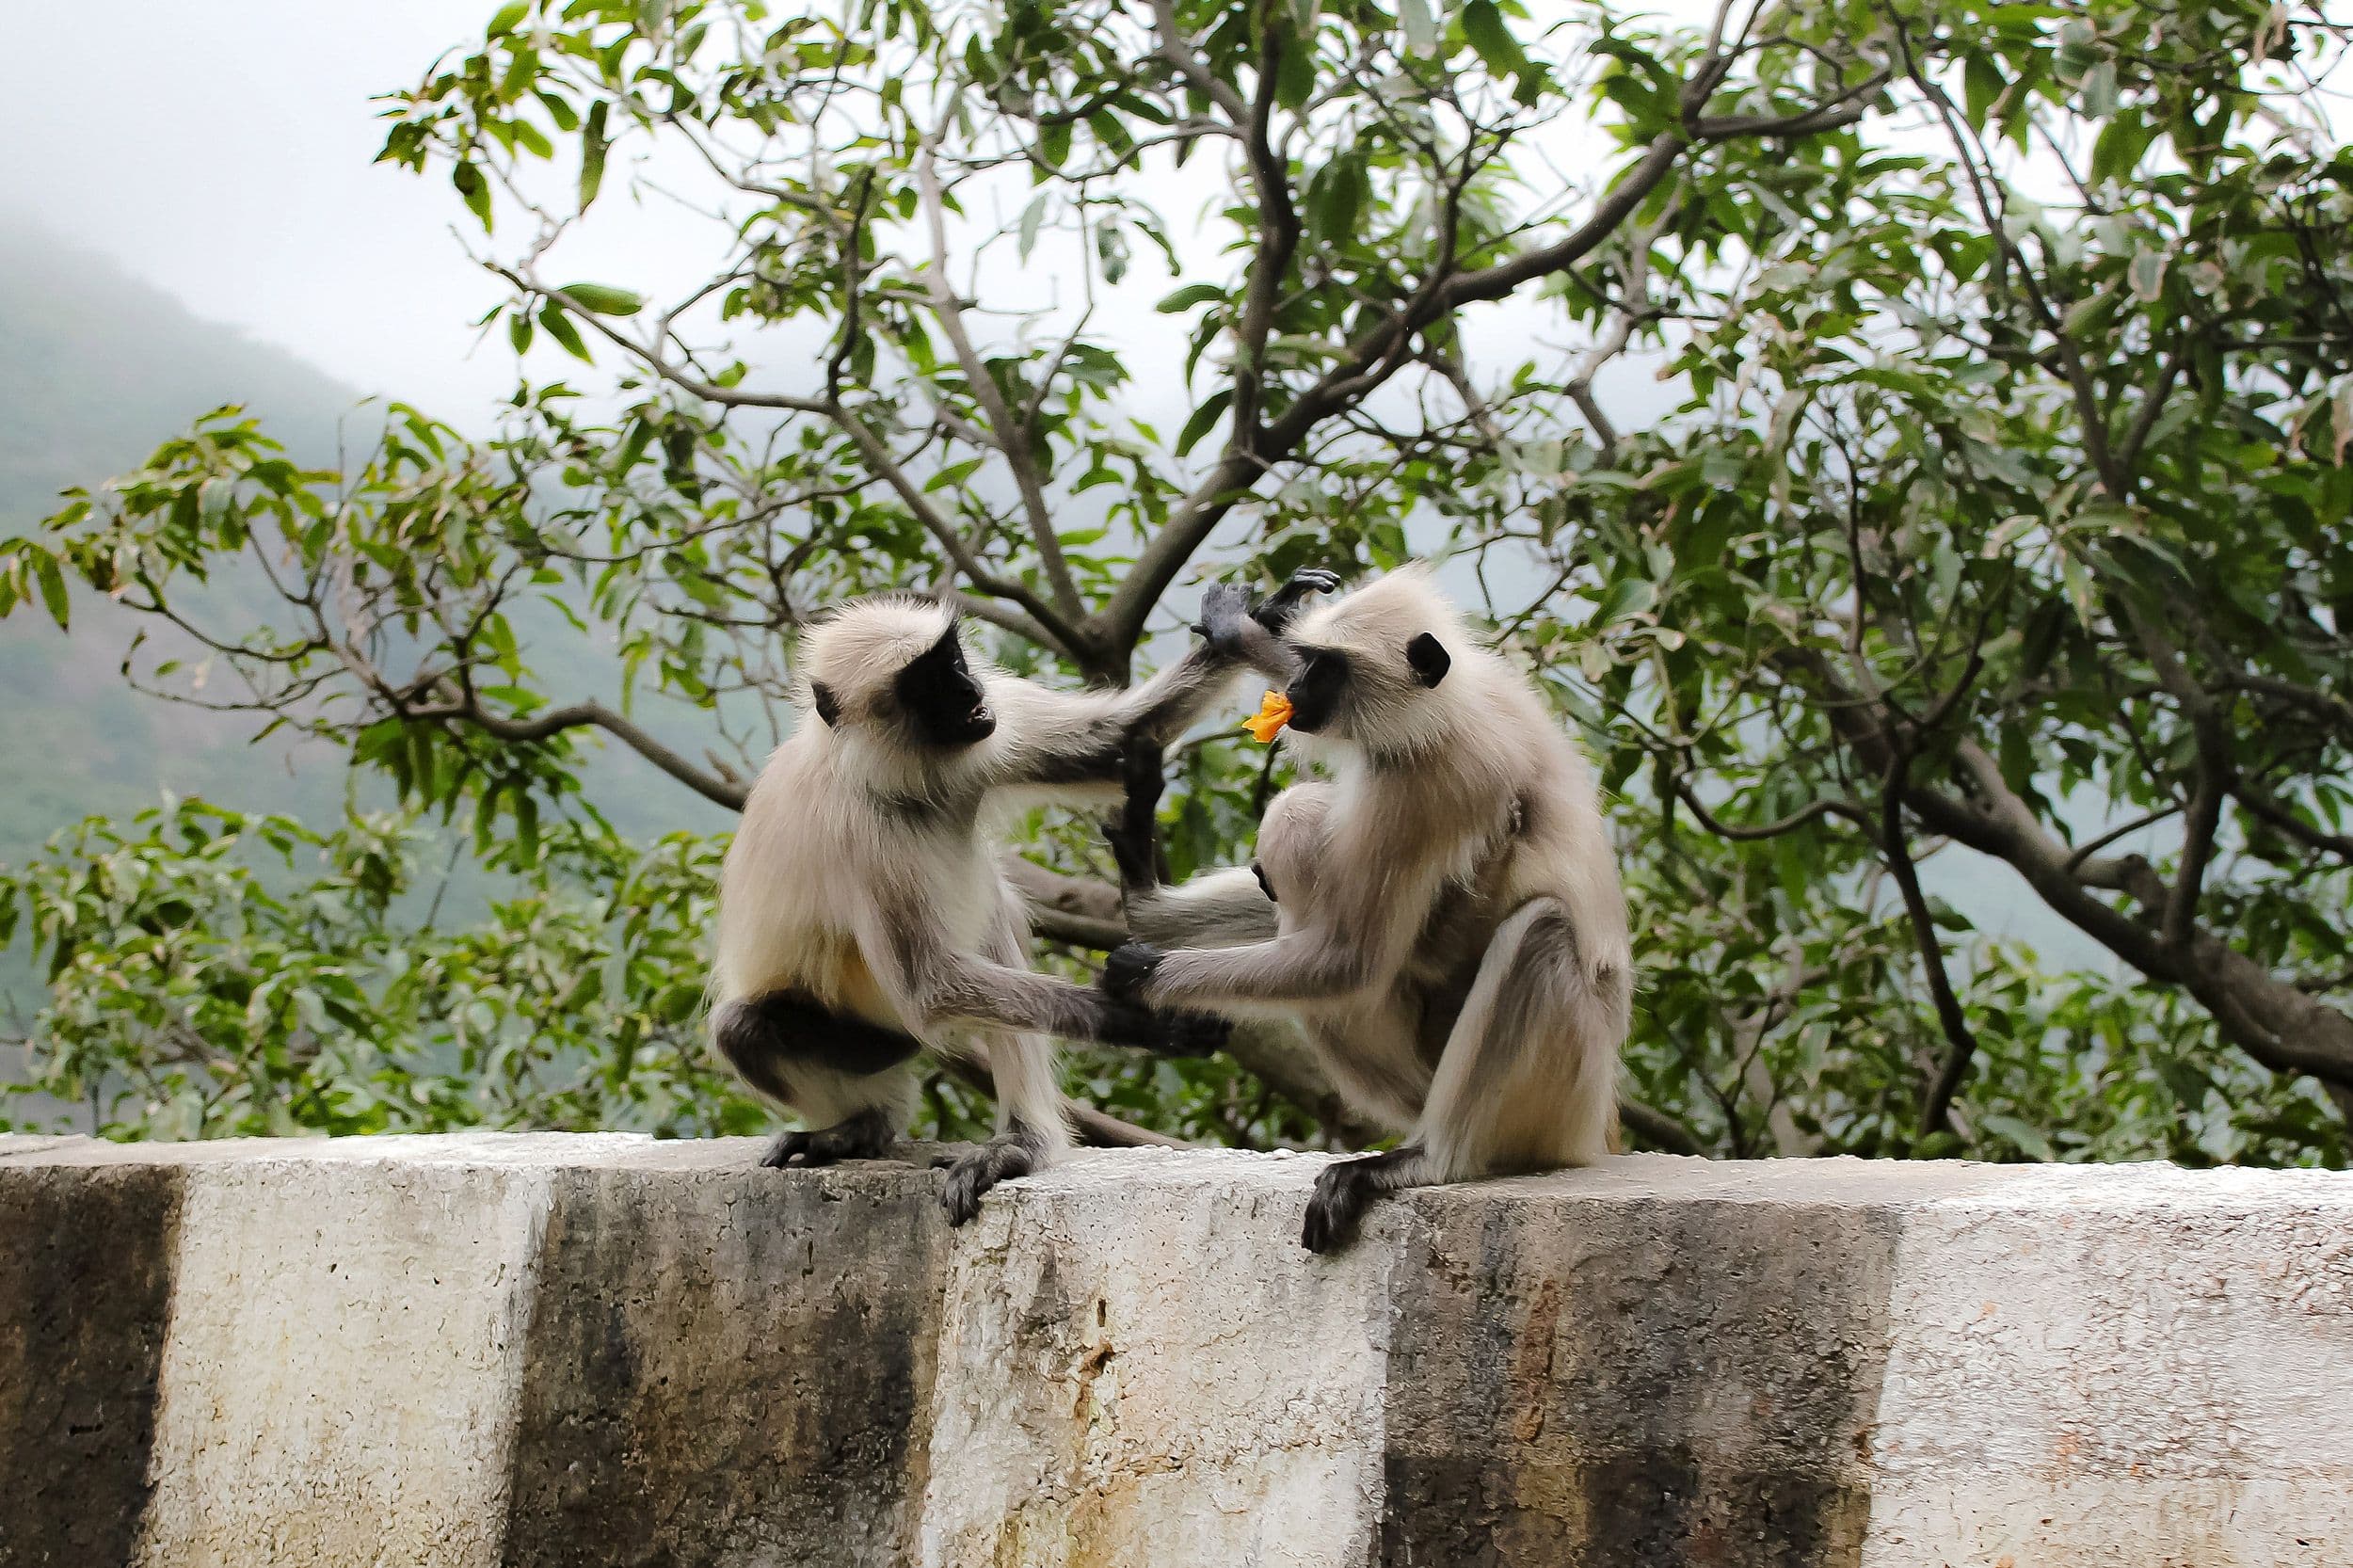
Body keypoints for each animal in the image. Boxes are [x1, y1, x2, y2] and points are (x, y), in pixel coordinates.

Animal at [710, 572, 1338, 1224]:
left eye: (953, 661)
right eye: (929, 684)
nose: (969, 690)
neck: (891, 776)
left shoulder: (990, 726)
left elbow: (1114, 738)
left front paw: (1262, 616)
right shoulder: (853, 831)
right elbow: (929, 983)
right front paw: (1142, 1021)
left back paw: (1004, 1141)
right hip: (869, 1038)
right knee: (743, 1030)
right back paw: (864, 1126)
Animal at [1103, 567, 1631, 1253]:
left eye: (1327, 669)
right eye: (1308, 660)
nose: (1295, 687)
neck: (1450, 706)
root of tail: (1602, 1121)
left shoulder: (1425, 784)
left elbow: (1347, 963)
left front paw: (1146, 978)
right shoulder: (1488, 688)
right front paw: (1243, 631)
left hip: (1563, 1099)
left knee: (1539, 930)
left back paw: (1429, 1159)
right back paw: (1149, 902)